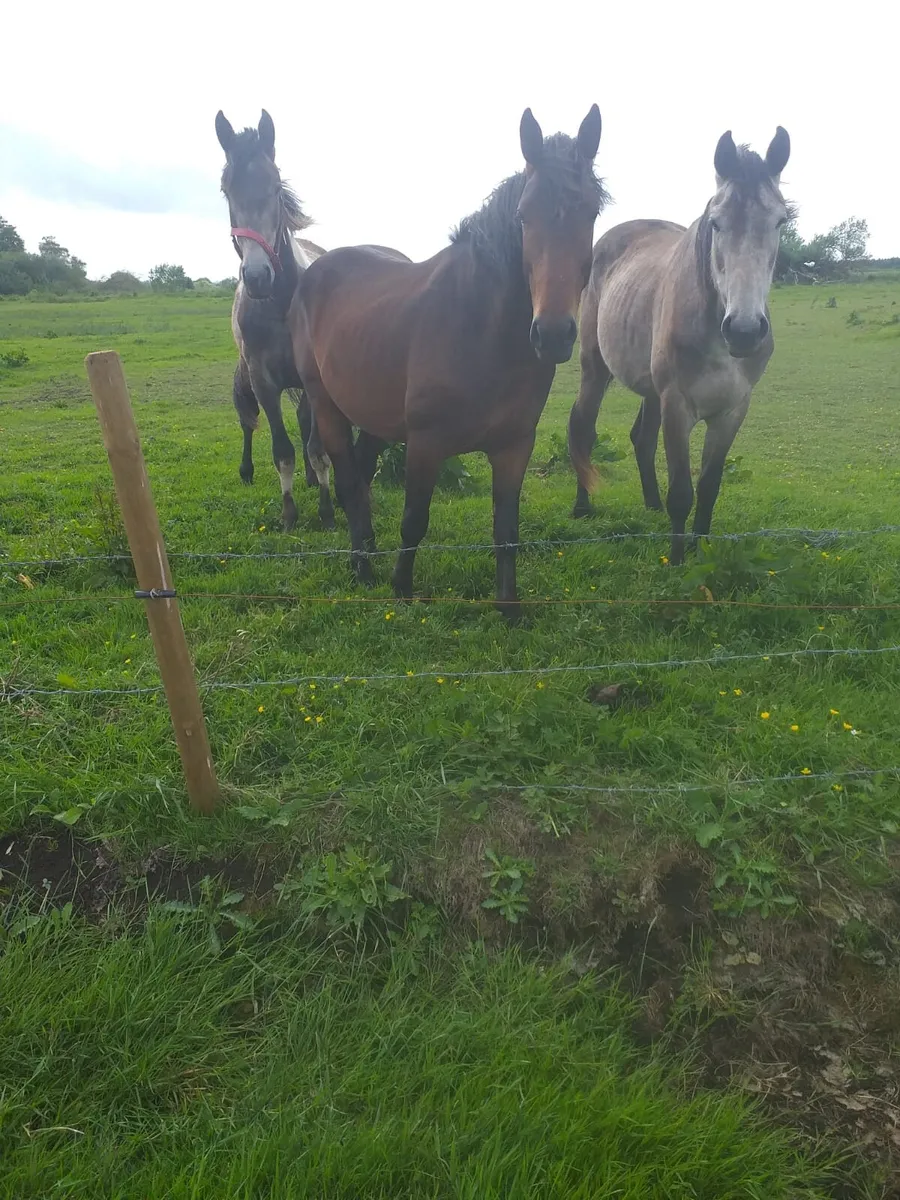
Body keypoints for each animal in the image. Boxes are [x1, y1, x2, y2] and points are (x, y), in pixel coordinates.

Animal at [215, 109, 334, 531]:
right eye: (226, 189)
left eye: (275, 185)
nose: (256, 277)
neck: (281, 306)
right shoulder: (262, 380)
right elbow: (282, 449)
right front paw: (289, 513)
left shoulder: (312, 379)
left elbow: (315, 446)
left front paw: (328, 509)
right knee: (247, 420)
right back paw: (246, 470)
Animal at [291, 106, 606, 619]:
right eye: (523, 215)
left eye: (591, 212)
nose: (554, 333)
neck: (483, 332)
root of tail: (315, 269)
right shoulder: (425, 444)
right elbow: (414, 520)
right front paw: (401, 589)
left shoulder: (514, 446)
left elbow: (506, 531)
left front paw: (509, 608)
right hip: (326, 405)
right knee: (348, 480)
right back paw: (362, 566)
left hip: (375, 416)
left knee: (361, 474)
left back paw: (367, 551)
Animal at [568, 127, 791, 564]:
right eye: (716, 223)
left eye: (780, 221)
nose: (743, 330)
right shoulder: (678, 405)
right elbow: (683, 493)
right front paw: (677, 561)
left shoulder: (732, 410)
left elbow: (708, 487)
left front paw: (700, 547)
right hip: (595, 368)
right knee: (584, 427)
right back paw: (583, 507)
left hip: (650, 389)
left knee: (641, 439)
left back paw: (650, 504)